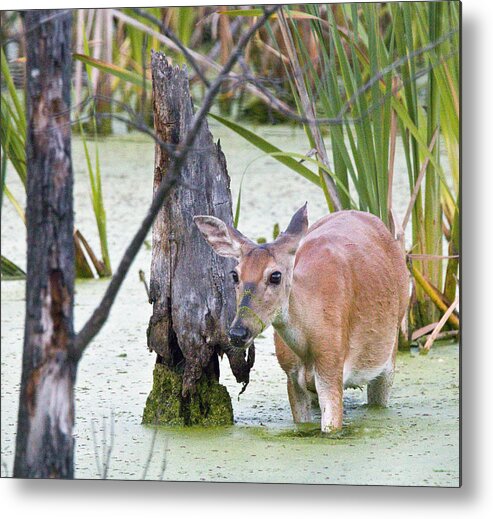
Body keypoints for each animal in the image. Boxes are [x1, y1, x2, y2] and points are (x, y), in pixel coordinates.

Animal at [194, 205, 410, 432]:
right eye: (235, 274)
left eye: (275, 275)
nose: (238, 332)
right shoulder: (291, 376)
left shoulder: (332, 368)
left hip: (390, 352)